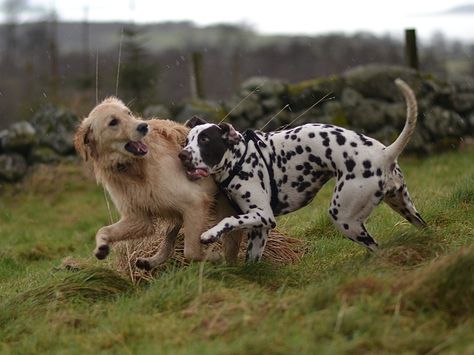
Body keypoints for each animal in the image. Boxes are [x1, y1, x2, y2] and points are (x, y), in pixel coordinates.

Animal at [76, 97, 243, 270]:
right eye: (113, 122)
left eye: (128, 113)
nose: (143, 126)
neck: (133, 168)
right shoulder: (138, 219)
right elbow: (103, 230)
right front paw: (101, 247)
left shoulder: (195, 202)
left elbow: (191, 251)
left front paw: (214, 256)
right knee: (169, 240)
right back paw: (151, 261)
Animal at [180, 80, 428, 262]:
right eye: (187, 140)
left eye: (205, 140)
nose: (182, 155)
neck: (239, 158)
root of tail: (383, 154)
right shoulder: (260, 229)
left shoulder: (262, 215)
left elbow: (228, 220)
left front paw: (210, 234)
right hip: (405, 208)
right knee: (423, 229)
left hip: (345, 218)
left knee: (376, 248)